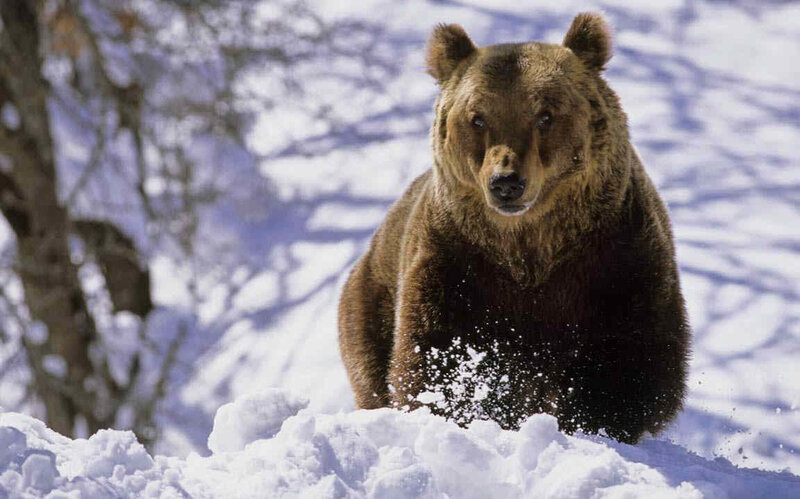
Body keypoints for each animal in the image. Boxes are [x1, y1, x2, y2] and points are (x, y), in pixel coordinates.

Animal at [338, 13, 690, 444]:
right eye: (477, 117)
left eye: (545, 114)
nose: (506, 181)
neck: (530, 245)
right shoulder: (460, 262)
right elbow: (437, 352)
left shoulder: (614, 257)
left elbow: (630, 355)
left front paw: (592, 420)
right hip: (372, 298)